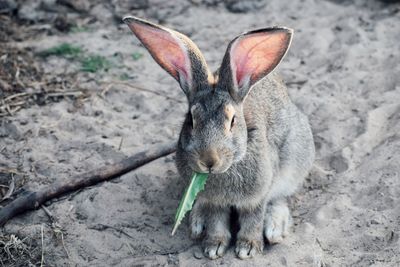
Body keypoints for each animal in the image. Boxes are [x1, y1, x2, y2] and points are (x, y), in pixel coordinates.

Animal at [123, 16, 314, 260]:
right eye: (191, 119)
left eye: (232, 121)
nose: (208, 161)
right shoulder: (214, 202)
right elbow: (216, 221)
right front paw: (214, 246)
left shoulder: (257, 196)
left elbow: (253, 218)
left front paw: (248, 248)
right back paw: (197, 221)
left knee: (281, 197)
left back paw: (274, 228)